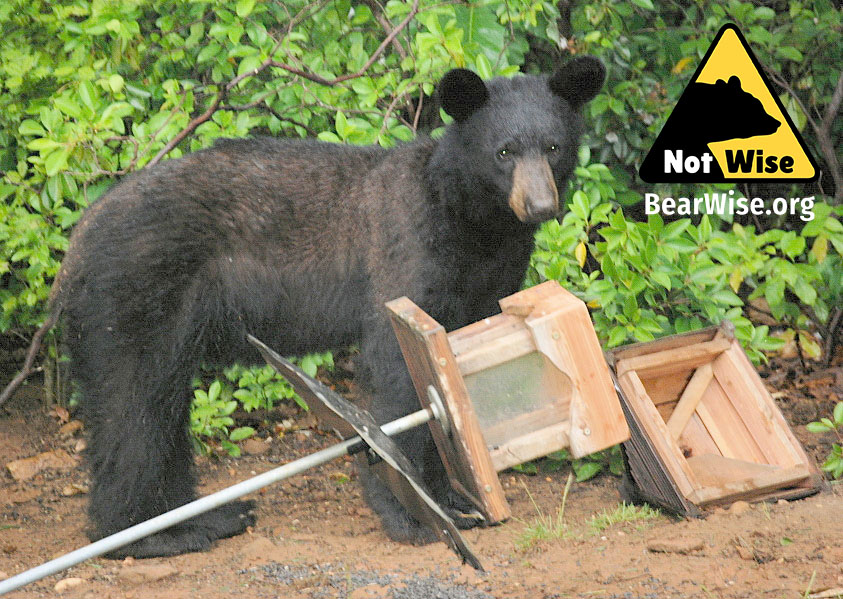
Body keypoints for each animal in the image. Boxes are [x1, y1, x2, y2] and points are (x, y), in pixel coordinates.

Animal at [49, 56, 606, 558]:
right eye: (504, 151)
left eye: (553, 147)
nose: (539, 205)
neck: (472, 222)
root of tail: (78, 237)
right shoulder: (409, 251)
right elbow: (395, 371)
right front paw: (416, 513)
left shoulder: (487, 278)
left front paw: (457, 494)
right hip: (135, 293)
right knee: (133, 403)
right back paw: (154, 534)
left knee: (161, 405)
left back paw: (208, 516)